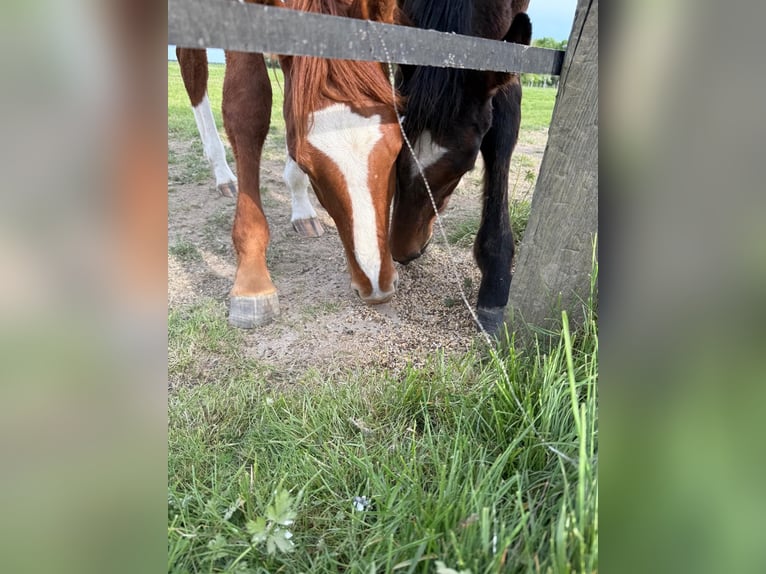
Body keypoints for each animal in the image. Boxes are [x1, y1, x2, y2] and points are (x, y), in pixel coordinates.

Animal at [175, 0, 402, 328]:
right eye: (309, 165)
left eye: (398, 149)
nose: (376, 286)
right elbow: (247, 108)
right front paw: (252, 280)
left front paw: (302, 210)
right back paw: (222, 173)